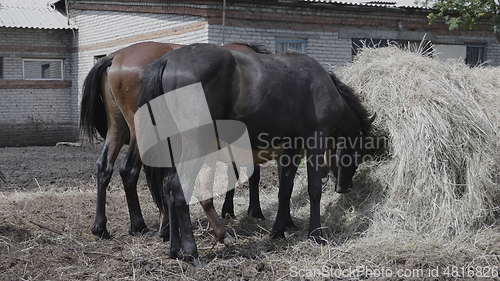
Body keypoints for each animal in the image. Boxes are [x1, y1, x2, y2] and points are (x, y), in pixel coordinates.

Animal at [80, 40, 270, 242]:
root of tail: (115, 56)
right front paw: (254, 211)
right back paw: (139, 225)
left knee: (104, 167)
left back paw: (101, 227)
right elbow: (251, 173)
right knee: (128, 170)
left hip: (118, 128)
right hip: (142, 132)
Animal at [139, 42, 374, 262]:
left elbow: (285, 189)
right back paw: (192, 251)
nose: (344, 187)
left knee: (168, 188)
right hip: (195, 145)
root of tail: (168, 60)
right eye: (357, 154)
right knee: (179, 190)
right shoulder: (314, 141)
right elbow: (314, 189)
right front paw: (316, 234)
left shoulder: (292, 148)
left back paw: (175, 248)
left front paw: (279, 230)